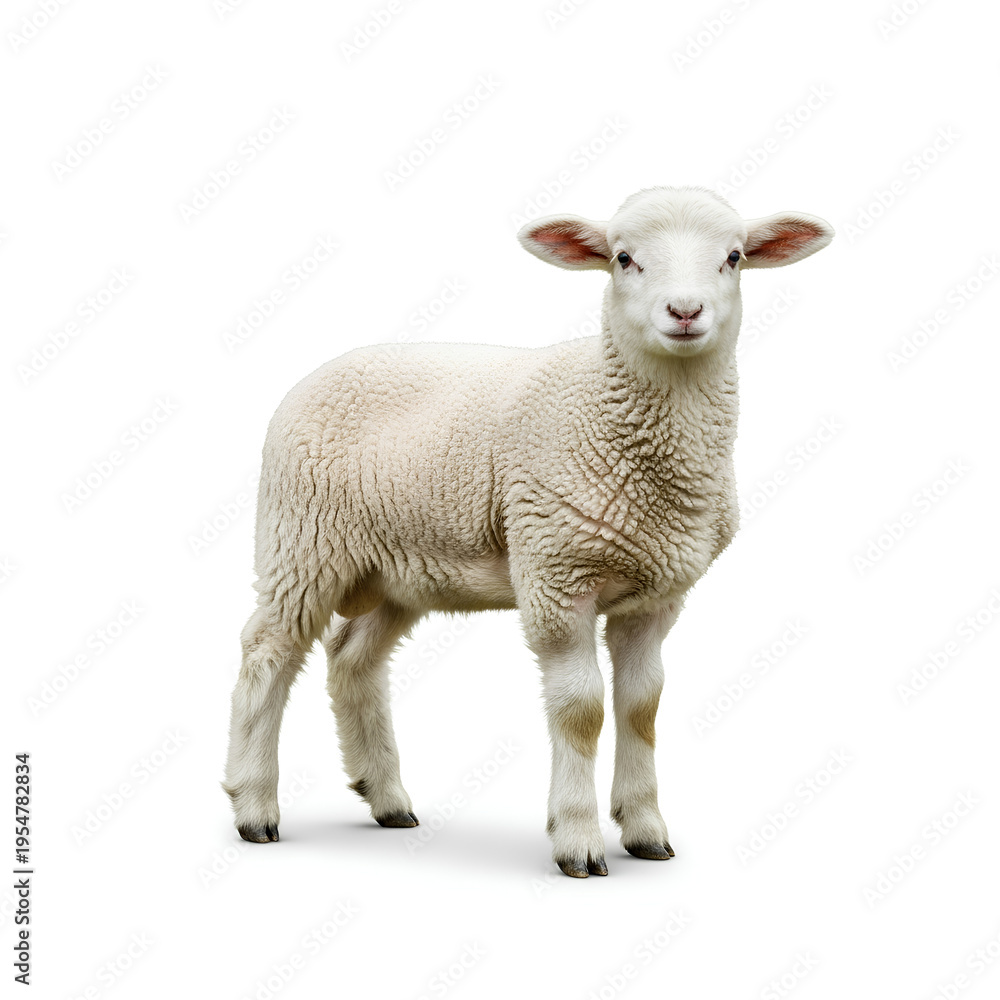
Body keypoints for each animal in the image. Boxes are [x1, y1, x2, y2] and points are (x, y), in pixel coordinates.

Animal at [223, 185, 834, 877]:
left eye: (733, 257)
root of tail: (321, 370)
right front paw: (578, 840)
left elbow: (642, 706)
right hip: (302, 540)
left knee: (352, 658)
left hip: (400, 565)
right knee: (266, 653)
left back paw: (386, 798)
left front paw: (646, 830)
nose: (685, 311)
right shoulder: (556, 574)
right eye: (624, 258)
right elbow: (582, 710)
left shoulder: (655, 596)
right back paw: (254, 806)